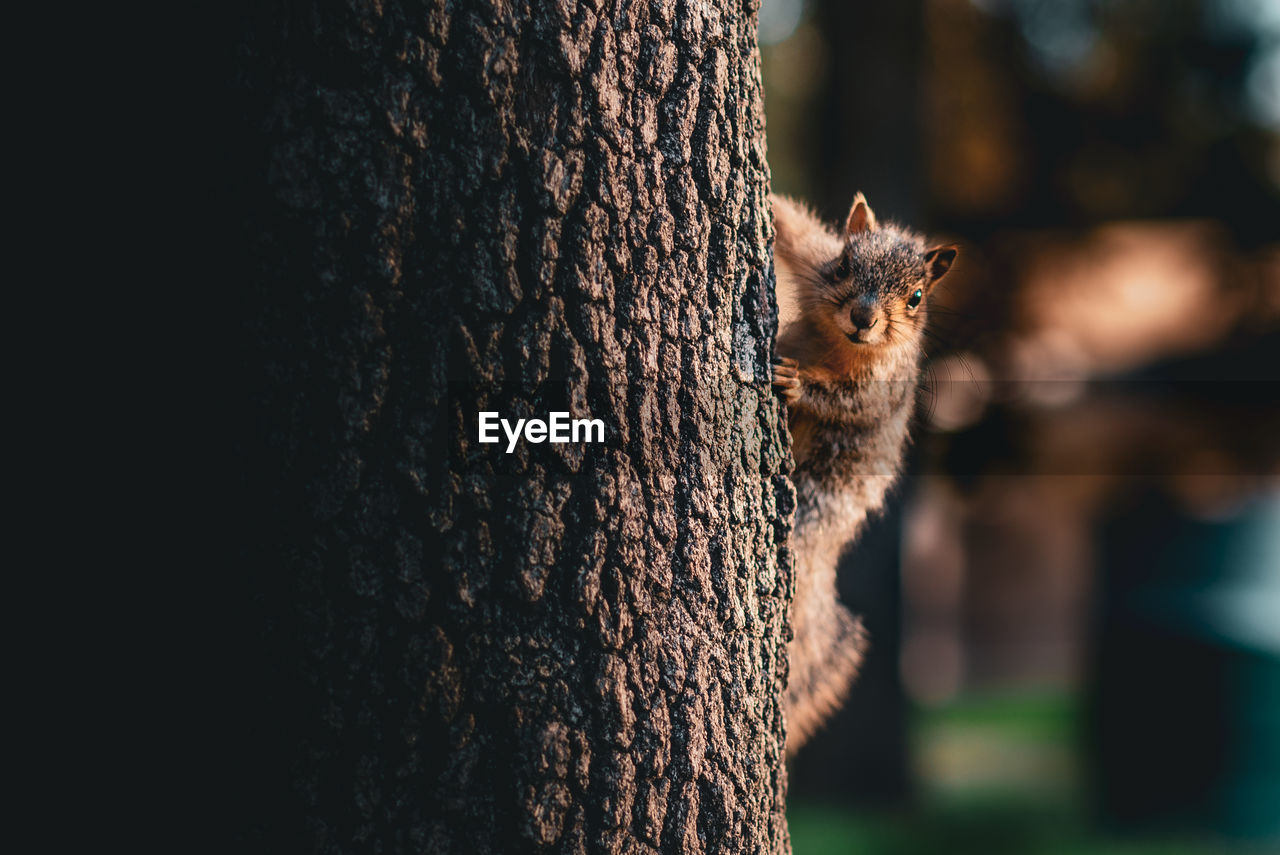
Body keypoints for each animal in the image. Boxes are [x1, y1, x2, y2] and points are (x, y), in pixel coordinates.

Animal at [768, 191, 952, 747]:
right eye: (845, 264)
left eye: (916, 297)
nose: (864, 317)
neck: (837, 344)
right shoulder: (812, 259)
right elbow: (796, 229)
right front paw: (770, 205)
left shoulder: (879, 388)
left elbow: (842, 402)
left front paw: (799, 383)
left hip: (821, 496)